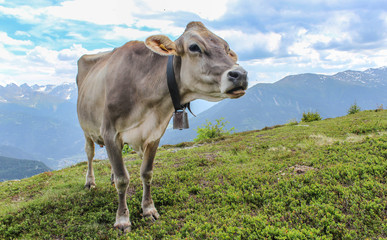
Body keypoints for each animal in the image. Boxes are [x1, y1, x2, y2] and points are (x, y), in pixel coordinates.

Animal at [76, 21, 249, 232]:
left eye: (227, 48)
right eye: (194, 47)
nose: (240, 74)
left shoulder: (154, 134)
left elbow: (146, 173)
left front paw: (148, 209)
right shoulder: (110, 132)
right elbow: (123, 179)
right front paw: (122, 219)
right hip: (86, 128)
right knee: (90, 154)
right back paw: (90, 182)